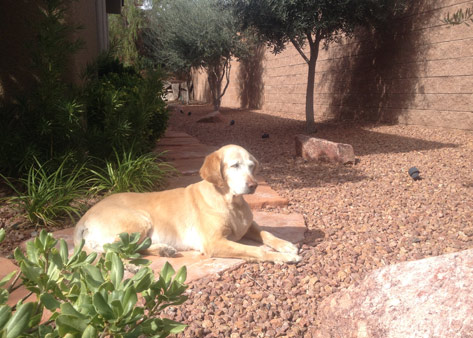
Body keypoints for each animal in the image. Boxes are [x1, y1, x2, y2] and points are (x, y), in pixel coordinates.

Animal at [75, 144, 300, 262]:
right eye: (235, 165)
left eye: (252, 166)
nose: (253, 185)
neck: (230, 202)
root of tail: (84, 217)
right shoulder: (213, 243)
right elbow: (256, 250)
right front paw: (283, 257)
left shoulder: (248, 225)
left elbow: (267, 234)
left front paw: (286, 245)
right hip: (139, 220)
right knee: (115, 249)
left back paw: (163, 250)